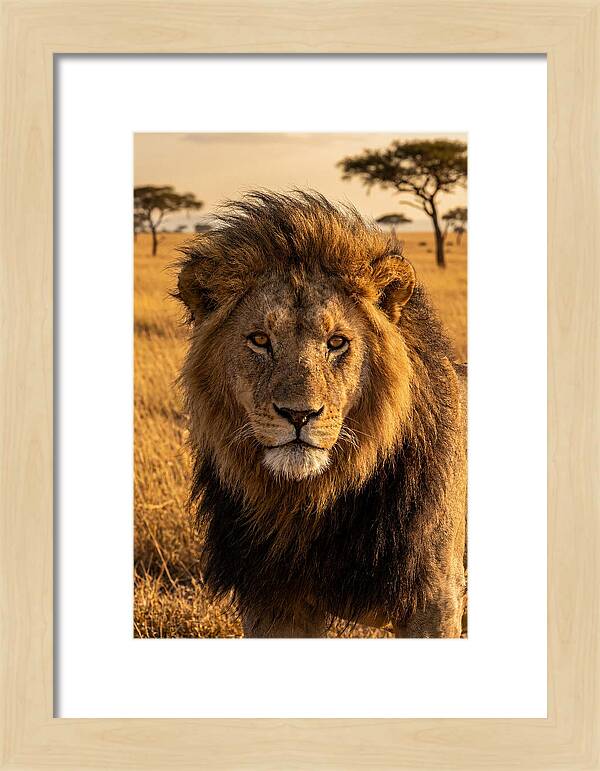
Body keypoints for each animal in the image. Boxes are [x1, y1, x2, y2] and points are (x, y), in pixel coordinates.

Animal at [176, 190, 467, 638]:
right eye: (259, 340)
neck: (311, 504)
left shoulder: (434, 600)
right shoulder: (273, 602)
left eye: (337, 342)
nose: (298, 415)